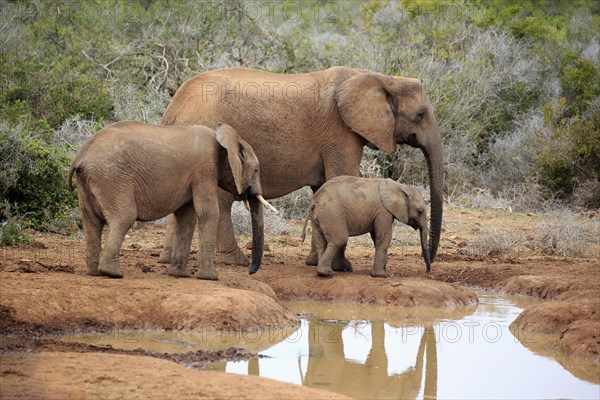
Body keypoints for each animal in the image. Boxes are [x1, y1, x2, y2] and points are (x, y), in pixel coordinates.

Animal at [67, 122, 272, 282]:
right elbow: (208, 212)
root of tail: (80, 157)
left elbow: (187, 217)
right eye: (256, 170)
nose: (250, 271)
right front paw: (211, 277)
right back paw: (113, 273)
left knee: (92, 222)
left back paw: (94, 272)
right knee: (124, 218)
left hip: (88, 182)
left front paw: (179, 274)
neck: (224, 138)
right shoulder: (205, 169)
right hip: (112, 179)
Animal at [157, 67, 442, 268]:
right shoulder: (341, 133)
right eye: (420, 115)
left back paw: (167, 259)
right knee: (222, 200)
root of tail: (174, 108)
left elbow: (322, 188)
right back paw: (235, 261)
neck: (382, 78)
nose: (429, 264)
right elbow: (342, 176)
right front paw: (341, 267)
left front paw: (315, 263)